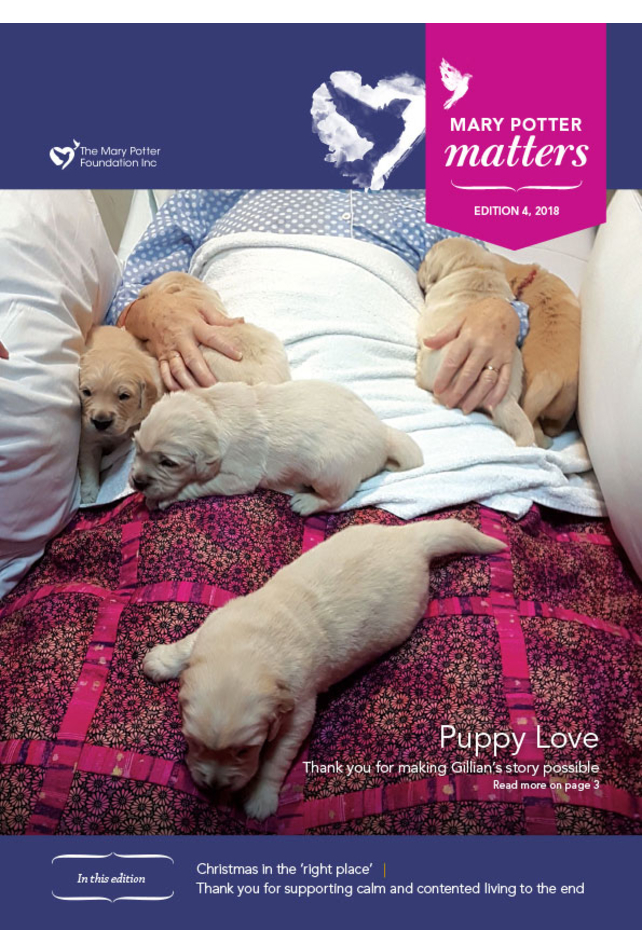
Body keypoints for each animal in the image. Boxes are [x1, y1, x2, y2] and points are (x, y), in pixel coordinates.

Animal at [78, 326, 163, 504]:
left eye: (124, 396)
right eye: (86, 392)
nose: (101, 422)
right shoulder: (88, 437)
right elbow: (88, 463)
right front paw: (89, 493)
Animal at [131, 380, 423, 514]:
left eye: (168, 463)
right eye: (137, 450)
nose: (137, 482)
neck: (214, 411)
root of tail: (382, 434)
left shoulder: (239, 477)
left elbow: (196, 486)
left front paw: (161, 498)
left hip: (330, 470)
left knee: (337, 498)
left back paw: (306, 502)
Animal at [143, 517, 505, 819]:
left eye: (245, 751)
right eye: (193, 742)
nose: (213, 787)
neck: (249, 648)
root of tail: (409, 538)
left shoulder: (300, 710)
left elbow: (276, 758)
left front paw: (260, 798)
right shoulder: (217, 623)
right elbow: (188, 644)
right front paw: (161, 660)